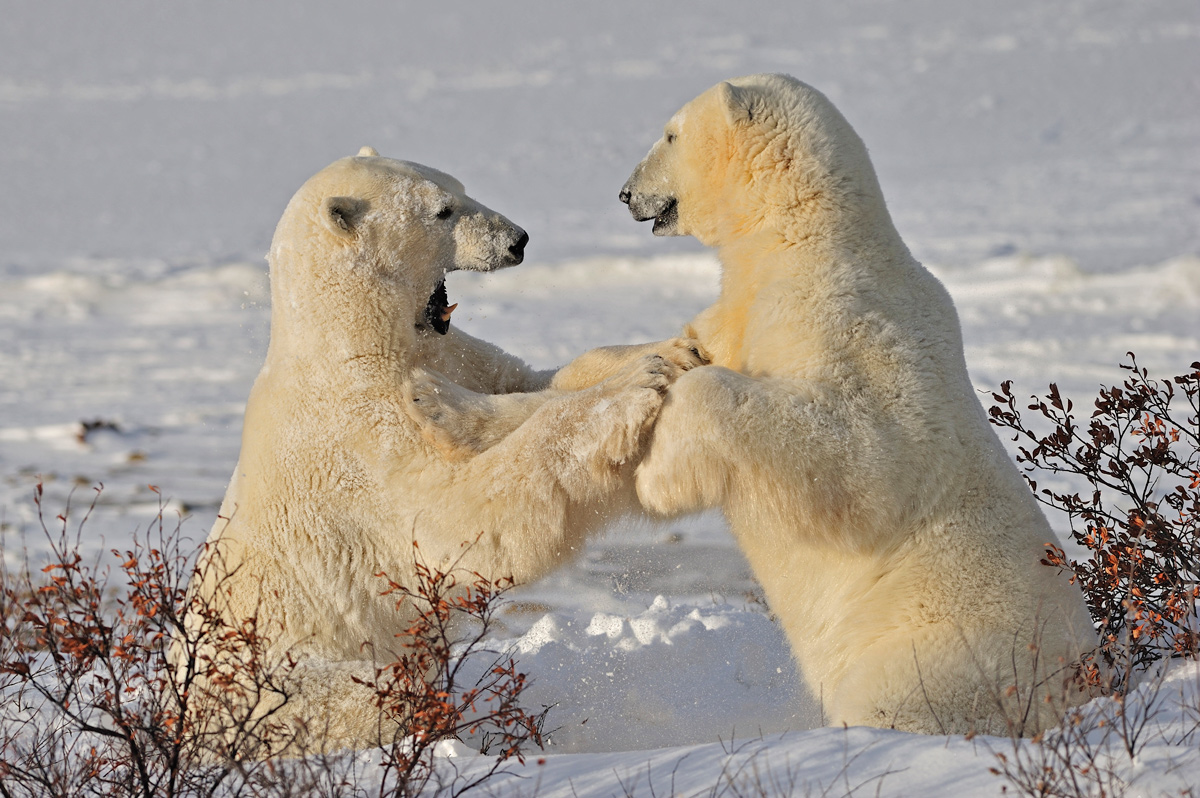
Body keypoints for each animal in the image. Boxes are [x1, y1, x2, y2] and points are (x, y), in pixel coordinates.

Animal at [189, 149, 700, 753]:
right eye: (443, 211)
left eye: (460, 186)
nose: (518, 239)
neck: (350, 342)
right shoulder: (364, 442)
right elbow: (461, 521)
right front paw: (636, 384)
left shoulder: (453, 354)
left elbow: (528, 381)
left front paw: (675, 349)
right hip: (293, 695)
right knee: (373, 701)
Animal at [619, 74, 1099, 734]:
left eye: (670, 134)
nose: (625, 193)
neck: (804, 240)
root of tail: (1087, 684)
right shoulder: (742, 308)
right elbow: (701, 340)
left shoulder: (845, 320)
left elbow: (857, 453)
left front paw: (658, 476)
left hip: (936, 651)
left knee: (893, 700)